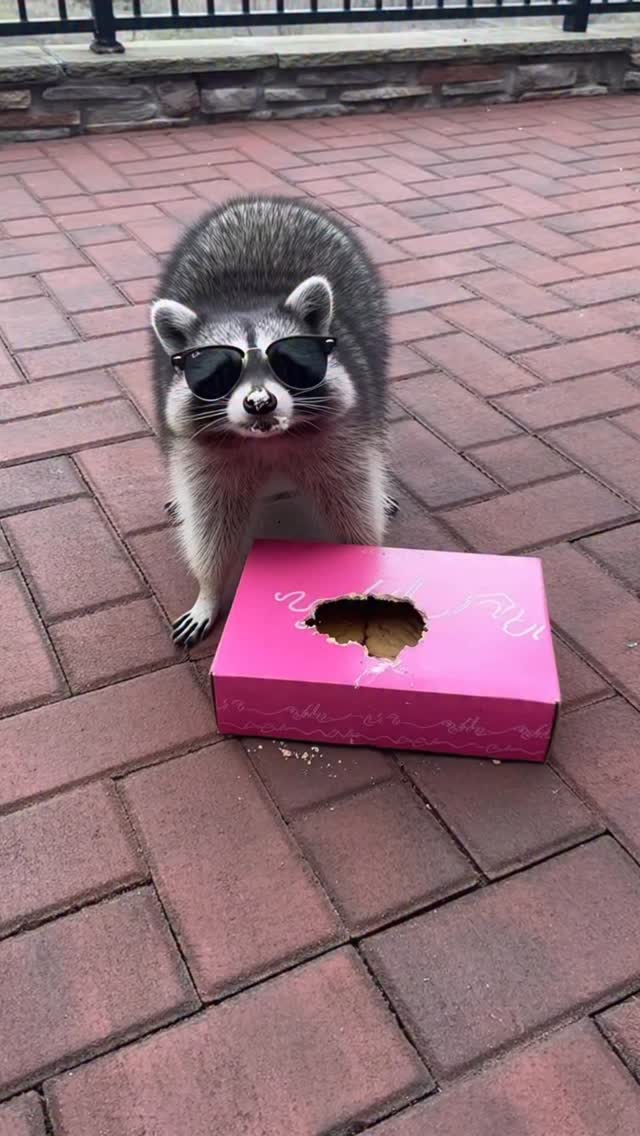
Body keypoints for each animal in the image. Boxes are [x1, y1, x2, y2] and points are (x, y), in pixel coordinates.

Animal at [150, 194, 392, 648]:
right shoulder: (202, 453)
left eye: (289, 362)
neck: (267, 442)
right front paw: (208, 589)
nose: (260, 403)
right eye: (219, 373)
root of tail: (265, 201)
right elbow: (210, 523)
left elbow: (355, 507)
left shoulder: (342, 437)